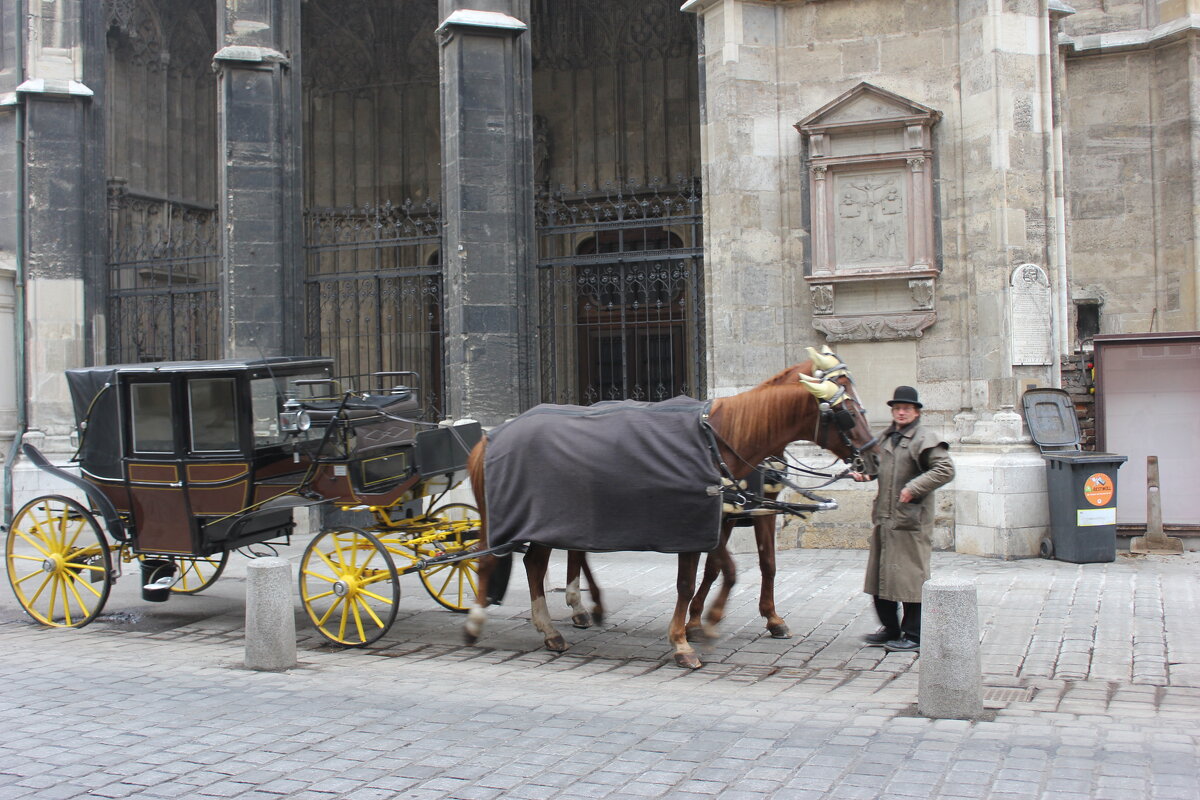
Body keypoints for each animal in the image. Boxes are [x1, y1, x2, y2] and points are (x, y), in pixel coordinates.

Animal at [463, 352, 878, 671]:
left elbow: (742, 568)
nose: (872, 460)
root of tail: (491, 436)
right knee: (488, 560)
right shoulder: (695, 524)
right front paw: (685, 638)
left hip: (548, 518)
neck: (721, 437)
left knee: (538, 563)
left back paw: (555, 627)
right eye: (846, 411)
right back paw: (478, 622)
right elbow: (695, 579)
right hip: (511, 518)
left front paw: (719, 621)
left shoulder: (731, 517)